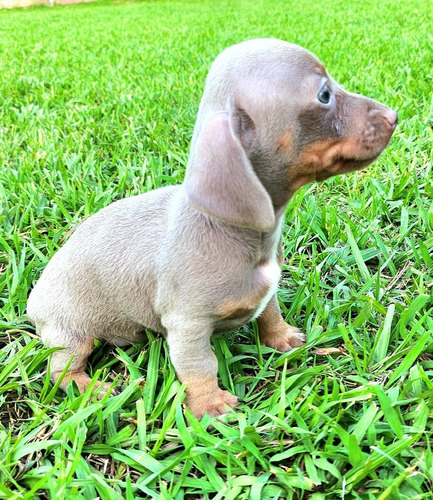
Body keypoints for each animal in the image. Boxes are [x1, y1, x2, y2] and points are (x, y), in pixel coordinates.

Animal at [27, 39, 396, 418]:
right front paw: (210, 403)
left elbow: (270, 312)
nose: (393, 115)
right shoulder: (187, 324)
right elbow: (199, 365)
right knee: (61, 371)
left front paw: (281, 337)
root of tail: (33, 299)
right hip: (70, 334)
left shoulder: (265, 293)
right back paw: (92, 388)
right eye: (324, 95)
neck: (234, 232)